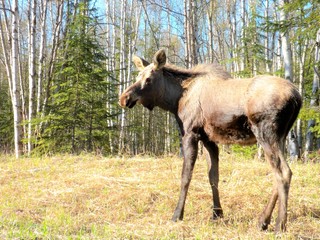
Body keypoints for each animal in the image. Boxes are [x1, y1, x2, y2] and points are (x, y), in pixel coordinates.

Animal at [119, 49, 302, 232]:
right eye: (137, 76)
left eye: (148, 78)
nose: (124, 98)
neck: (175, 100)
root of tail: (297, 98)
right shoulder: (208, 139)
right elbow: (213, 176)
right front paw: (217, 214)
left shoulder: (190, 133)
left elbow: (186, 177)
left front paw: (177, 215)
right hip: (281, 136)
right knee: (278, 174)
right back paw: (263, 221)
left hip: (265, 132)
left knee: (284, 172)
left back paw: (279, 225)